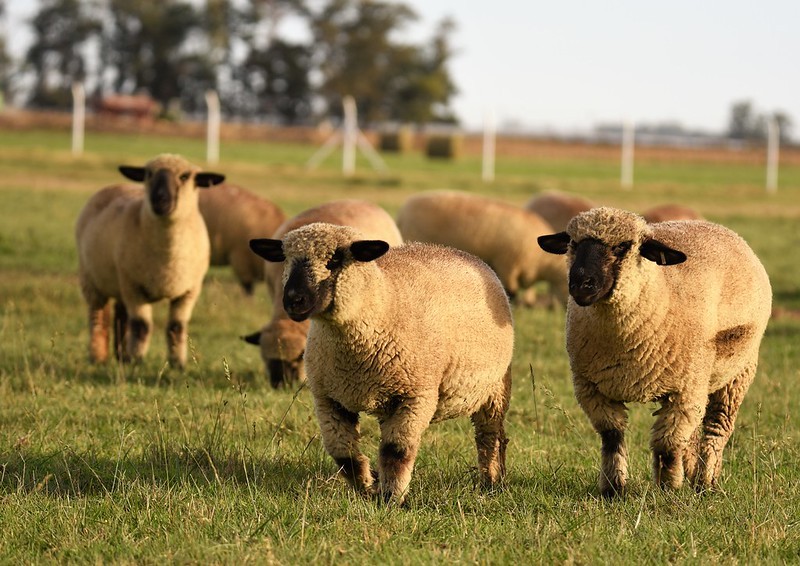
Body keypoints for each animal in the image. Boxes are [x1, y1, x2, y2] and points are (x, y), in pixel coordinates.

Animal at [76, 153, 225, 370]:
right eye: (148, 174)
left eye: (185, 176)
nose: (159, 200)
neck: (168, 257)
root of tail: (114, 185)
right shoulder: (134, 287)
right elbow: (141, 326)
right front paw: (137, 361)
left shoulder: (190, 290)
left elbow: (176, 327)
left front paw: (178, 364)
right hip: (93, 280)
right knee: (98, 316)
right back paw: (99, 357)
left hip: (120, 284)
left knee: (121, 316)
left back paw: (122, 356)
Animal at [248, 223, 512, 506]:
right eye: (286, 259)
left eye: (335, 260)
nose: (294, 300)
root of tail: (458, 251)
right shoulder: (328, 398)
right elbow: (343, 453)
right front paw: (367, 487)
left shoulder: (417, 396)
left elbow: (396, 450)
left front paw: (392, 499)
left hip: (495, 388)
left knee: (490, 436)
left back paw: (491, 482)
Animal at [536, 207, 772, 496]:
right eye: (573, 243)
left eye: (623, 246)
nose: (581, 284)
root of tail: (720, 228)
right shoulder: (592, 389)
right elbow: (612, 438)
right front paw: (614, 489)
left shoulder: (684, 390)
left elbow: (666, 445)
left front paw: (667, 489)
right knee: (693, 433)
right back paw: (692, 472)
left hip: (736, 372)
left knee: (716, 428)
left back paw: (706, 482)